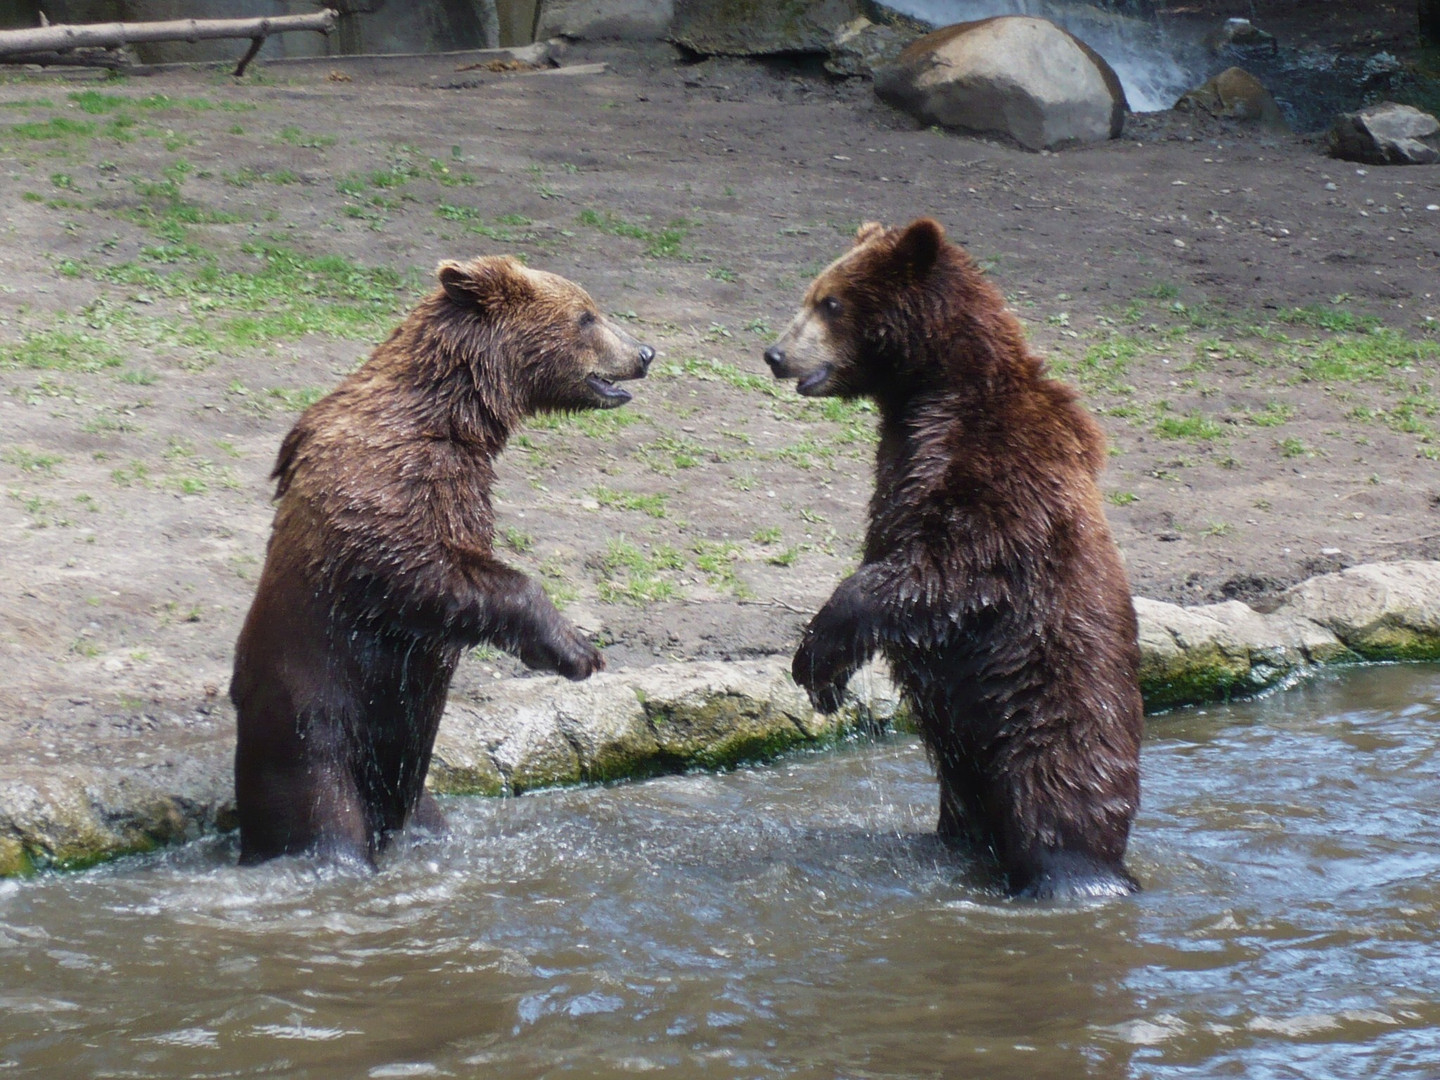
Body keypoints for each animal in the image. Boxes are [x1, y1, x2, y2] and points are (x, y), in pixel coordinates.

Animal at [231, 256, 653, 869]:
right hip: (313, 732)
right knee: (324, 820)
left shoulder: (457, 486)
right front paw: (577, 649)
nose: (644, 352)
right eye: (586, 316)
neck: (456, 418)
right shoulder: (392, 483)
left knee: (421, 808)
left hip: (402, 781)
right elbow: (424, 571)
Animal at [766, 220, 1146, 904]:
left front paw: (816, 661)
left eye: (830, 302)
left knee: (1054, 791)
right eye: (813, 293)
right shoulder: (900, 463)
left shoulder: (1000, 474)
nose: (776, 355)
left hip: (1048, 705)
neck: (932, 391)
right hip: (964, 744)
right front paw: (829, 680)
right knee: (964, 794)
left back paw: (1070, 875)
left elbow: (945, 570)